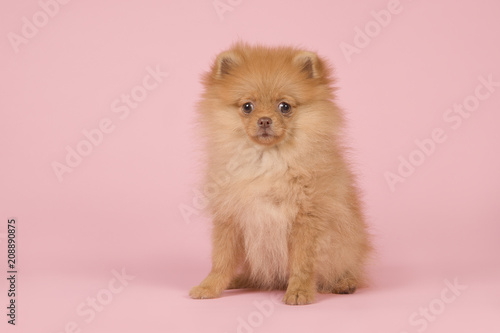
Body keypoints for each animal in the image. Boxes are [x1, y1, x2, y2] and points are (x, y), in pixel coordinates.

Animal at [191, 42, 372, 304]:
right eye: (247, 107)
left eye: (284, 107)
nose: (265, 120)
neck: (268, 161)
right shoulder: (229, 217)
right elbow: (221, 260)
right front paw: (209, 286)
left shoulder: (307, 219)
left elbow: (302, 263)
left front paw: (299, 292)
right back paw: (240, 280)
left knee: (347, 268)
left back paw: (344, 283)